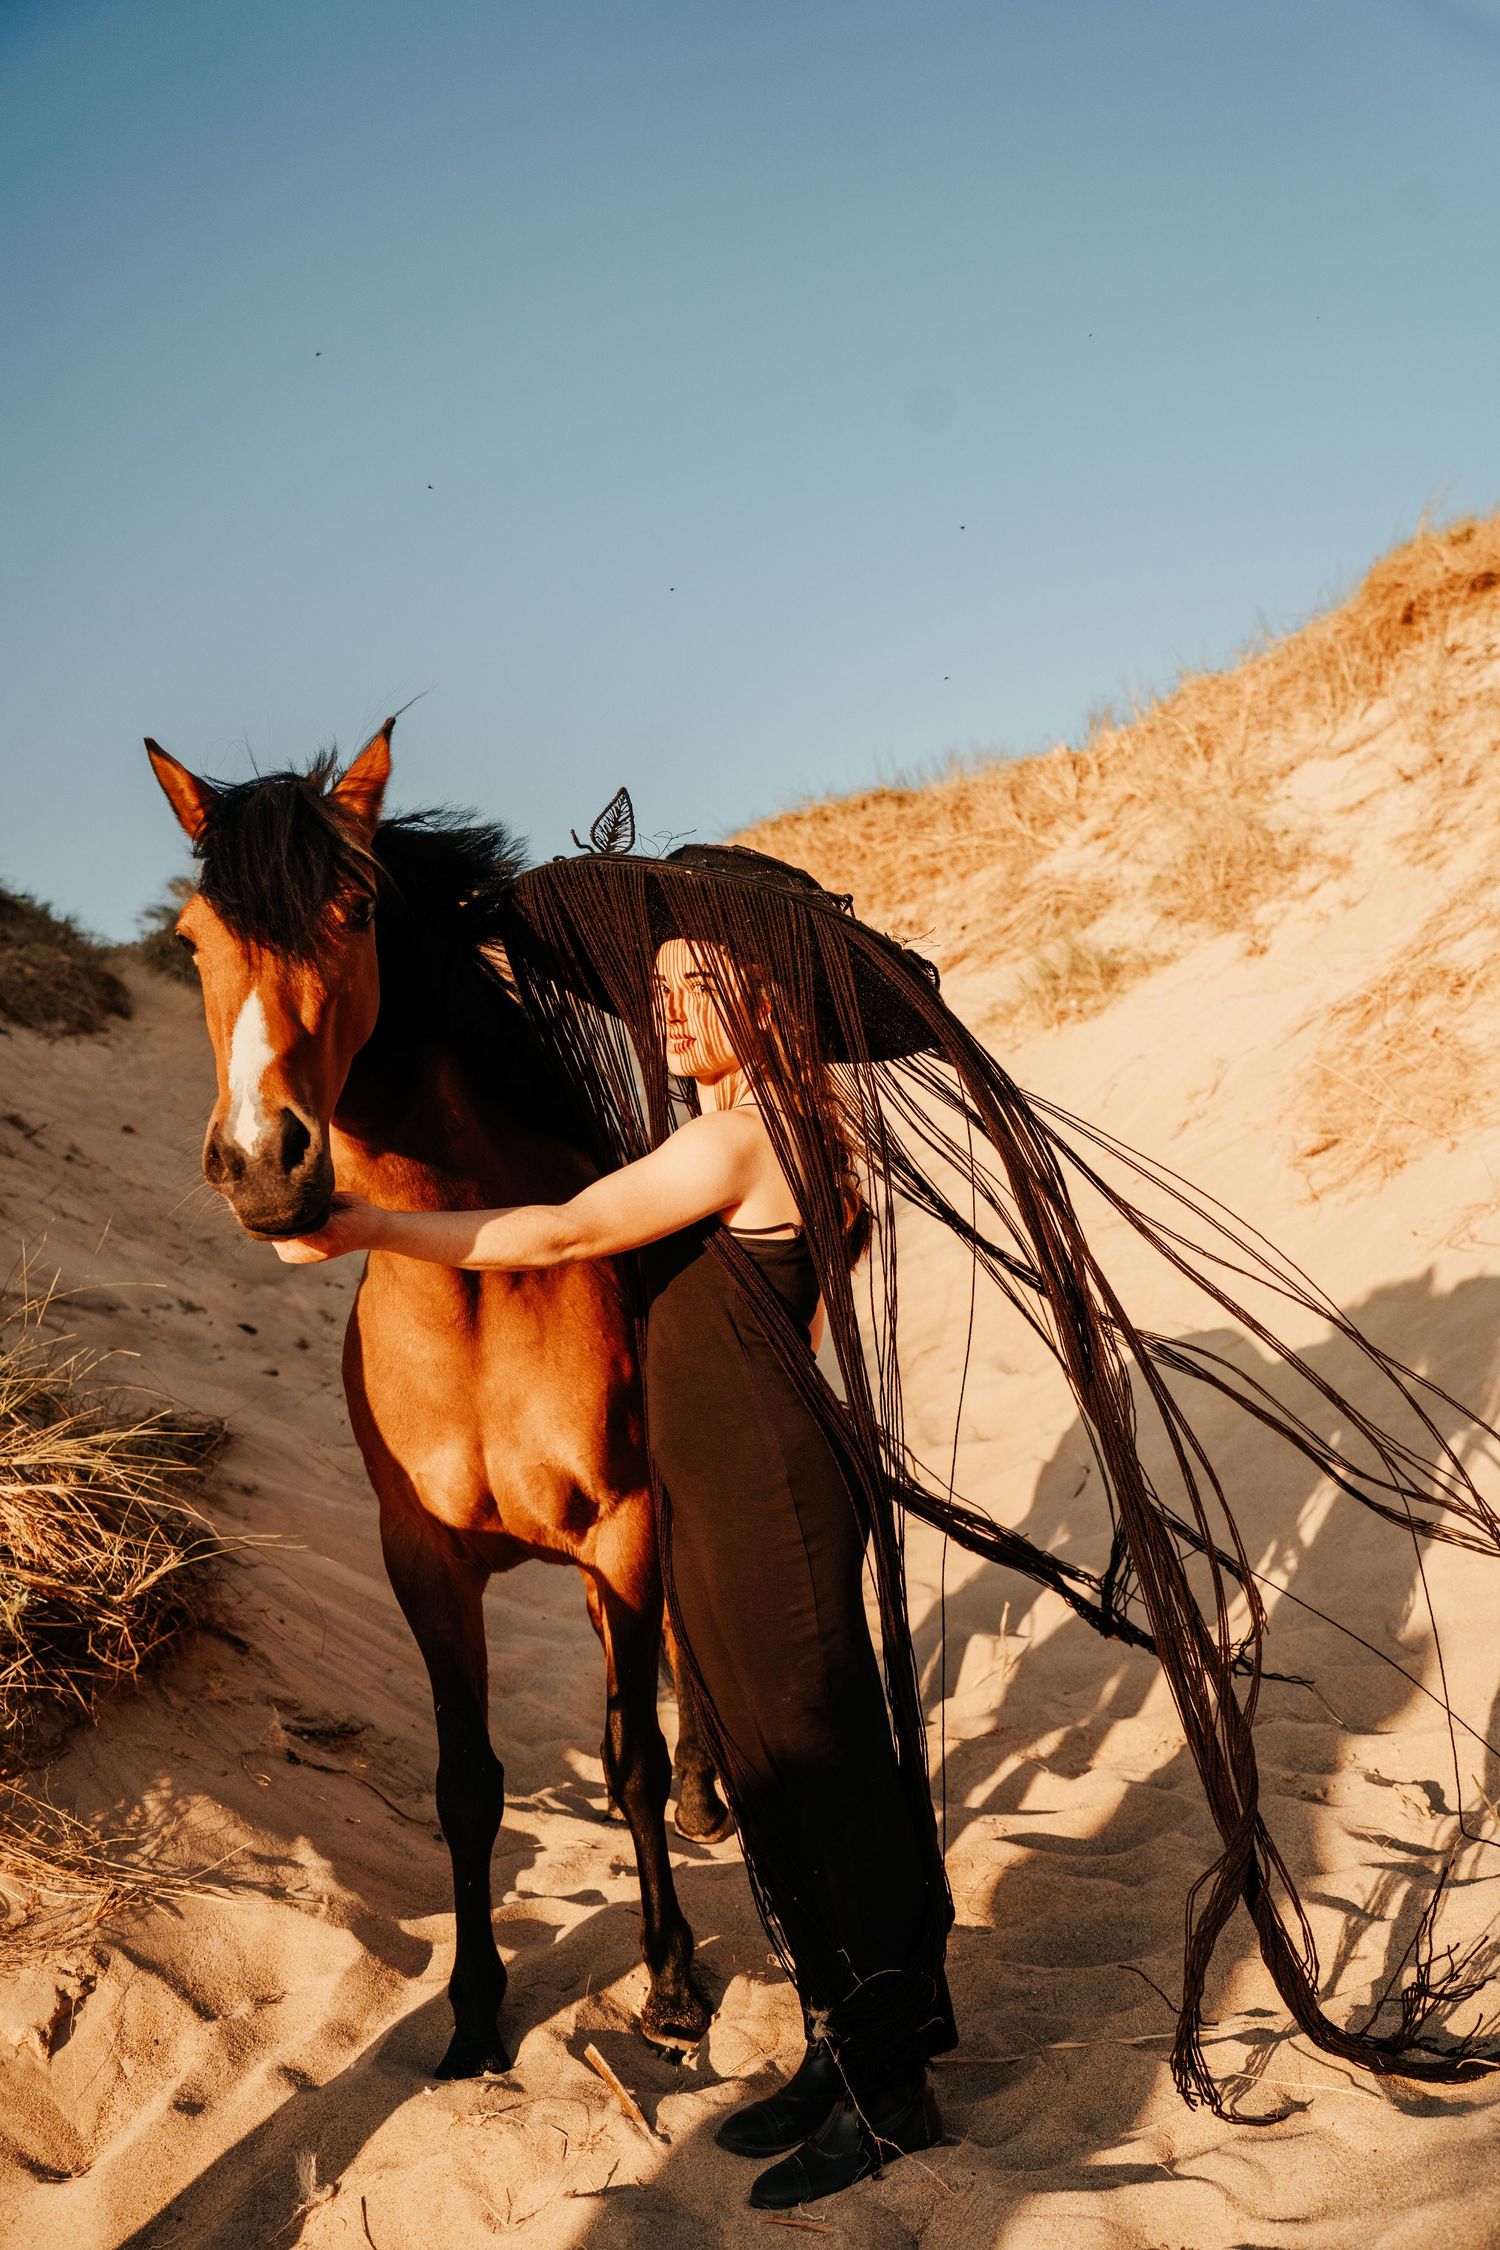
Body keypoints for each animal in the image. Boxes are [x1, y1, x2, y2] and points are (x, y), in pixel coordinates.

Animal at [146, 719, 725, 2076]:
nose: (264, 1166)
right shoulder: (423, 1561)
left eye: (355, 908)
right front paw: (471, 2014)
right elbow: (470, 1787)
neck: (473, 1289)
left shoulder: (624, 1527)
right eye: (191, 939)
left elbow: (626, 1754)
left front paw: (673, 1982)